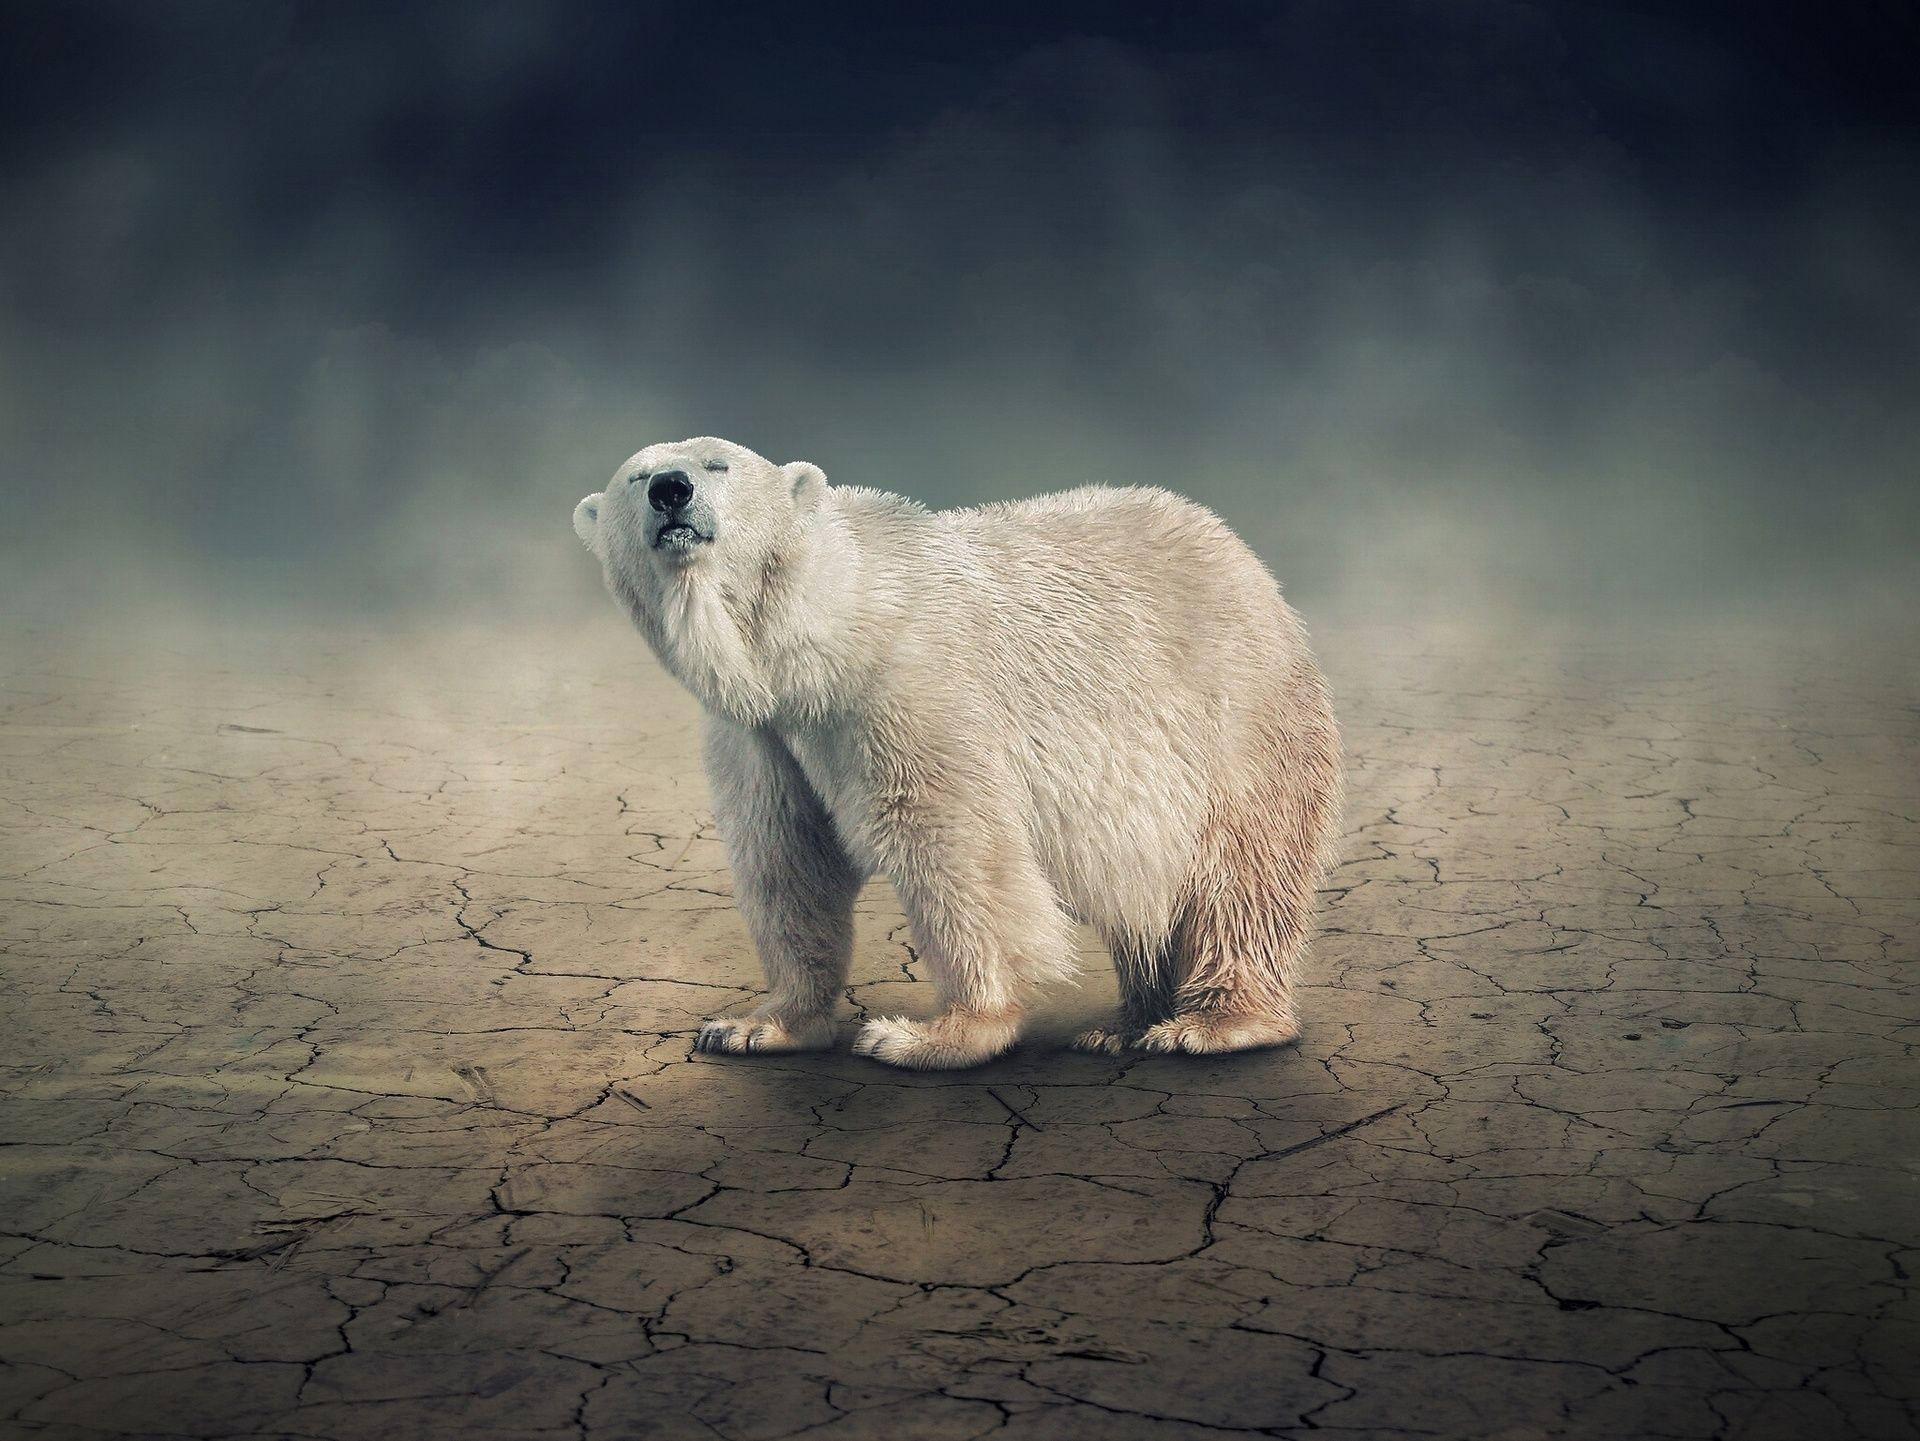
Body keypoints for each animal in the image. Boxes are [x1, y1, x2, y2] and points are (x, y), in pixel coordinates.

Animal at [572, 437, 1341, 1070]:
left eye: (716, 465)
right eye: (635, 474)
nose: (670, 488)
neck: (823, 633)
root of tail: (1248, 563)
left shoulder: (910, 685)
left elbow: (953, 843)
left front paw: (932, 1034)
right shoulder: (761, 733)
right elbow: (787, 857)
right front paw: (758, 1024)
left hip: (1235, 721)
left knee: (1237, 875)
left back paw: (1212, 1024)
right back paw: (1122, 1023)